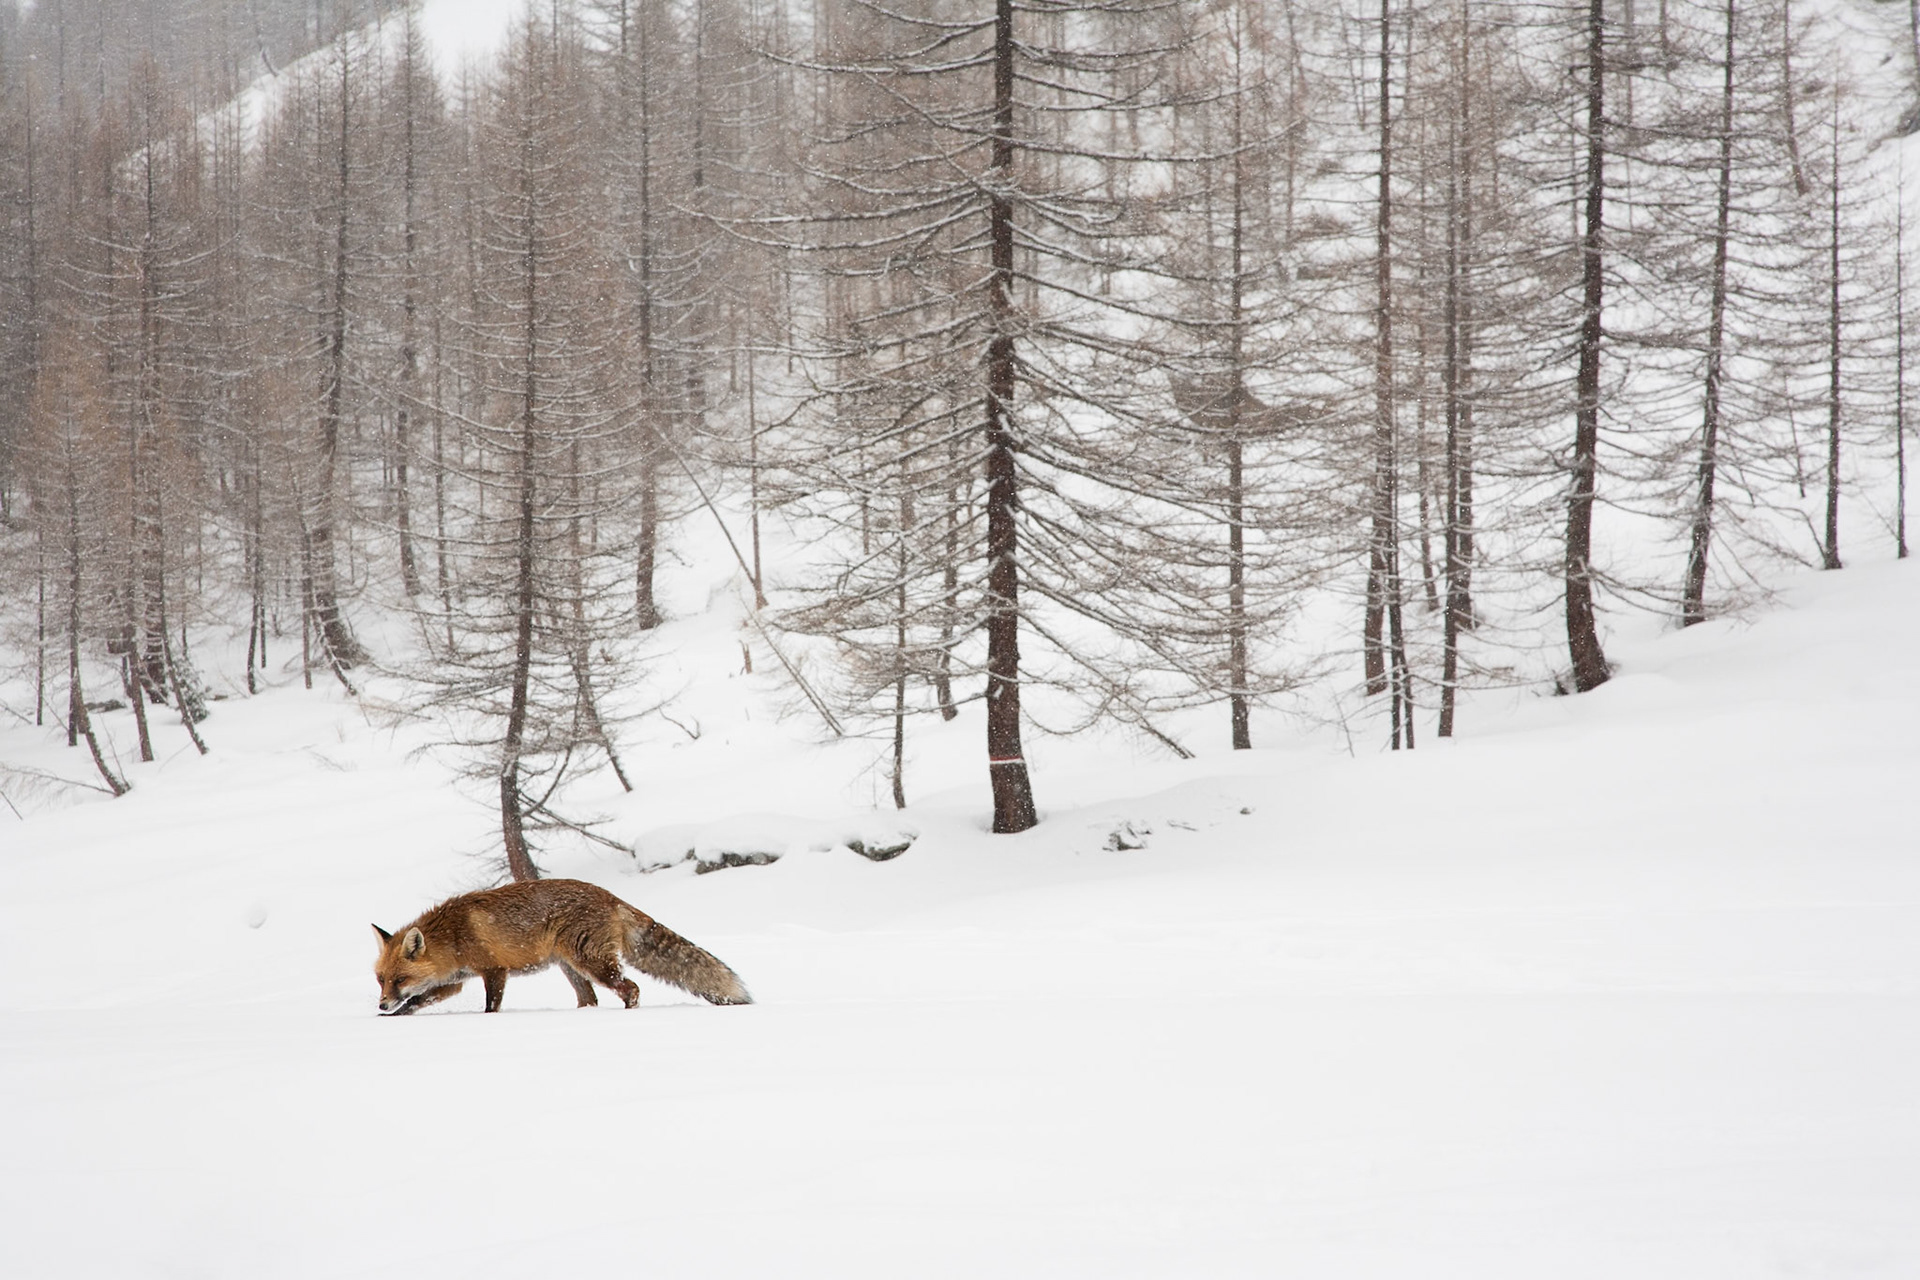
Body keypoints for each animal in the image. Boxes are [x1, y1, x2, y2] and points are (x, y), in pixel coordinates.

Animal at [371, 878, 751, 1015]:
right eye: (381, 980)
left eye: (399, 979)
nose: (382, 1003)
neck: (452, 935)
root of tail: (611, 896)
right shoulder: (455, 980)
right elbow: (418, 1001)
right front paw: (393, 1017)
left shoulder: (494, 970)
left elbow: (491, 1008)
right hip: (571, 968)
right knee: (591, 1000)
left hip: (591, 962)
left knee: (631, 987)